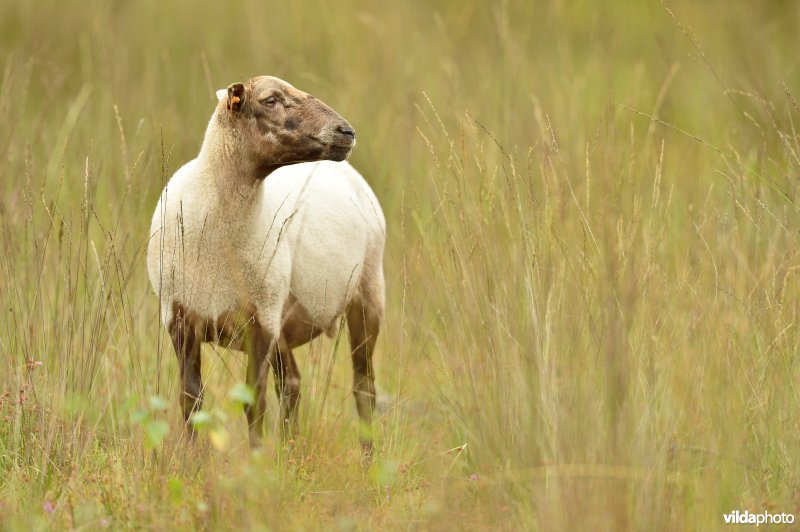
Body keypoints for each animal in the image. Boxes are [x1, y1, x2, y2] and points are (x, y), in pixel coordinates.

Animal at [149, 75, 388, 450]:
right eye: (271, 99)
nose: (346, 132)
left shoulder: (259, 321)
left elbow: (254, 401)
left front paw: (256, 459)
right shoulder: (179, 317)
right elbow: (191, 399)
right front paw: (194, 460)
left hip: (366, 295)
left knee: (364, 388)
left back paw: (368, 456)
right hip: (284, 317)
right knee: (292, 384)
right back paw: (290, 449)